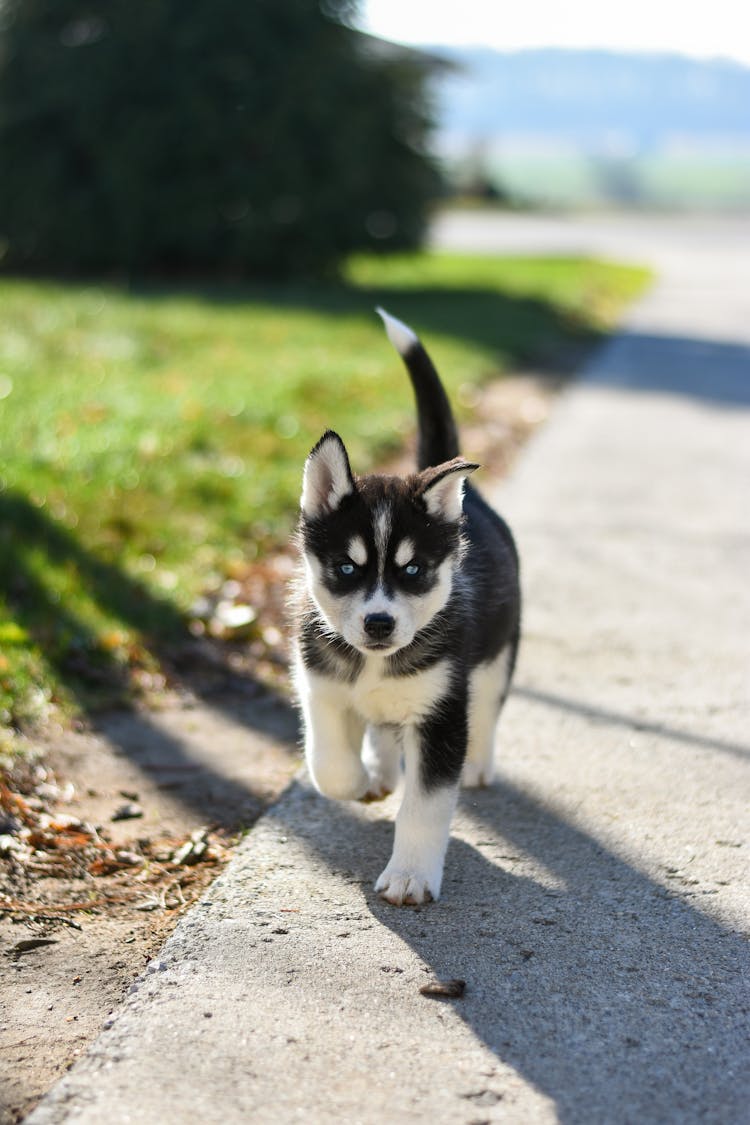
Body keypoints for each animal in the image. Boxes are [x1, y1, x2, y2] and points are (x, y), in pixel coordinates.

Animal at [292, 308, 521, 904]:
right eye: (348, 568)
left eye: (413, 570)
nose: (378, 623)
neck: (374, 663)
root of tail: (470, 501)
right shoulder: (320, 688)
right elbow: (329, 765)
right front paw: (361, 780)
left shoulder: (440, 714)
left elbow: (426, 806)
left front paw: (410, 876)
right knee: (378, 725)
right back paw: (380, 768)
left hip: (498, 654)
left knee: (487, 708)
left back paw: (478, 764)